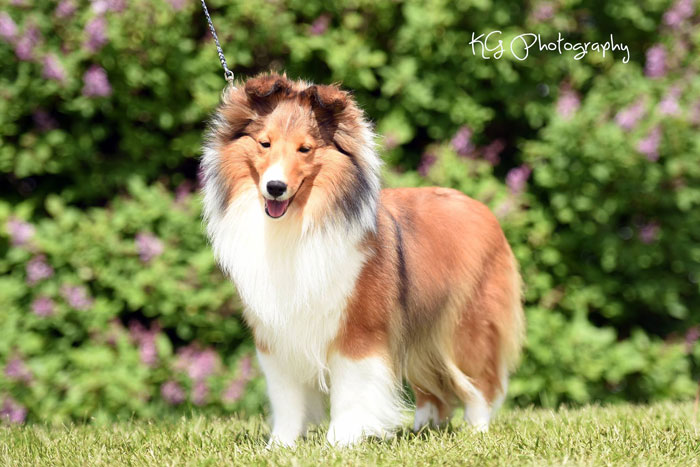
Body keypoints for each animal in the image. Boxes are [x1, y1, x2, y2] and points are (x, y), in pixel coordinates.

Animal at [201, 73, 525, 446]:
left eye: (305, 149)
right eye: (264, 143)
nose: (275, 187)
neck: (296, 224)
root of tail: (480, 207)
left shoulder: (358, 327)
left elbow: (351, 391)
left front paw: (340, 441)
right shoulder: (278, 335)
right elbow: (287, 398)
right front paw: (280, 446)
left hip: (464, 328)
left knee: (480, 385)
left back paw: (477, 429)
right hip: (420, 328)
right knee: (433, 387)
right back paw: (424, 427)